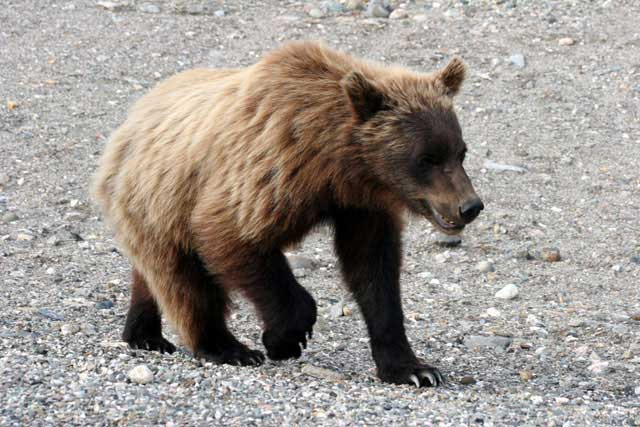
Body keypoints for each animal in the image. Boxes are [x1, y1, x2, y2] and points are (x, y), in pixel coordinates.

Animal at [90, 41, 482, 388]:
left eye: (460, 152)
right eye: (427, 158)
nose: (470, 206)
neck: (336, 164)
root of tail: (131, 119)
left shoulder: (361, 206)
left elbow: (374, 272)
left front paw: (414, 370)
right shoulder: (269, 170)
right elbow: (229, 232)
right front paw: (285, 339)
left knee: (152, 274)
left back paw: (145, 333)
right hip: (161, 200)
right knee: (184, 280)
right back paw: (226, 347)